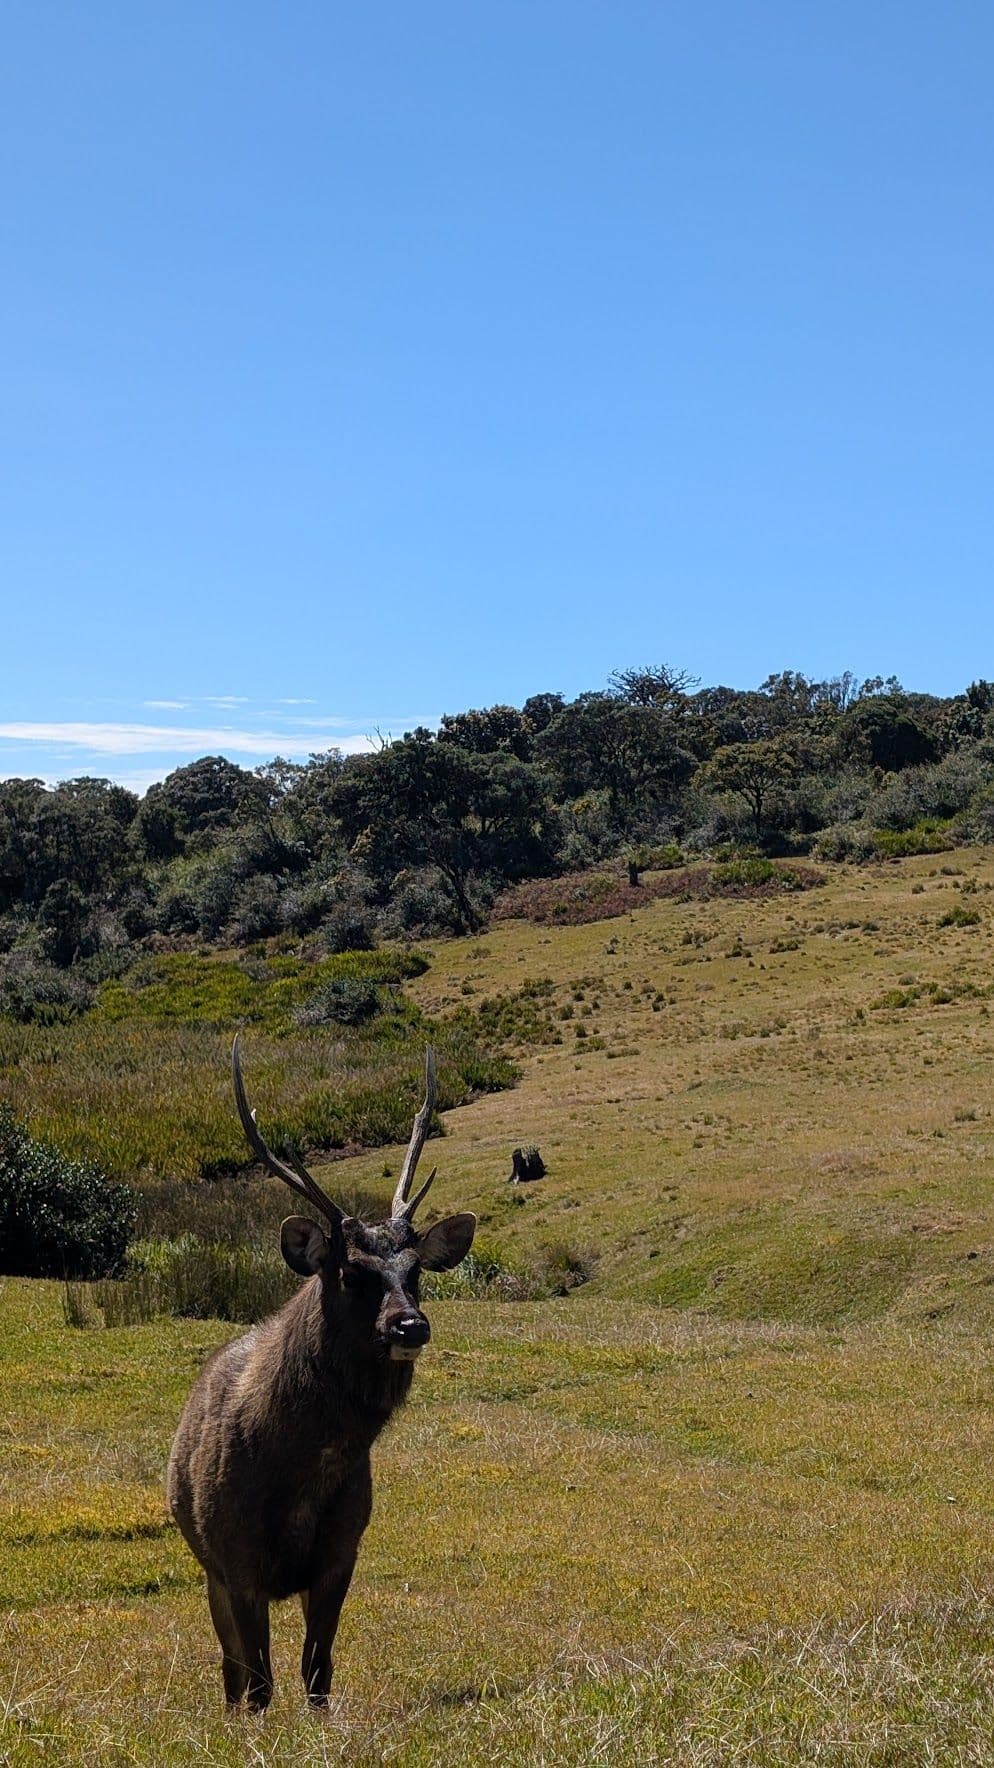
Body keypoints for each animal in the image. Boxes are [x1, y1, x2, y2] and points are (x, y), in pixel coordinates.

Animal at [167, 1039, 476, 1712]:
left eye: (415, 1270)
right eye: (352, 1272)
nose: (410, 1326)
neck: (301, 1476)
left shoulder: (341, 1553)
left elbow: (317, 1670)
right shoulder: (235, 1559)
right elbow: (258, 1681)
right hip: (206, 1564)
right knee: (231, 1670)